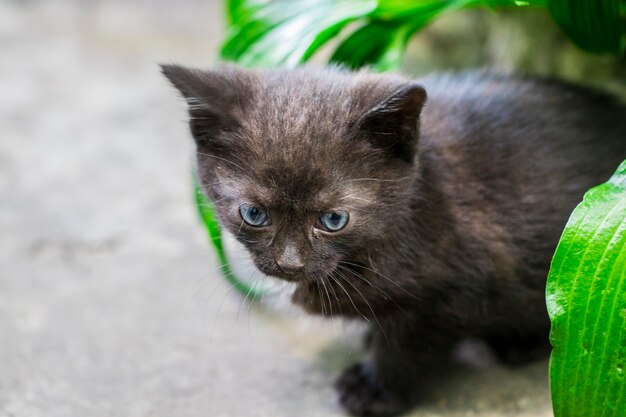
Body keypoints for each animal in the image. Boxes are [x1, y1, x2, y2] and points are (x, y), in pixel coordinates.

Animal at [162, 63, 624, 414]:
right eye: (254, 214)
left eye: (333, 219)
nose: (289, 262)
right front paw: (370, 339)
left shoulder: (455, 293)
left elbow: (407, 344)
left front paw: (377, 389)